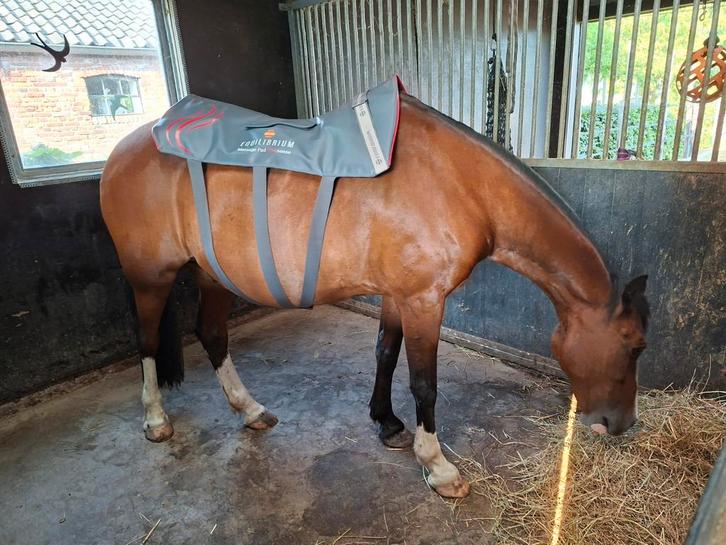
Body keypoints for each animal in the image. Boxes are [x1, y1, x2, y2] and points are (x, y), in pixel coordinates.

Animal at [100, 91, 649, 499]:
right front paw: (437, 467)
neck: (462, 184)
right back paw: (155, 419)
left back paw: (250, 409)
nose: (621, 425)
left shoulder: (398, 296)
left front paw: (386, 423)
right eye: (635, 346)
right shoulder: (425, 300)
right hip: (151, 278)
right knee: (148, 343)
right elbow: (425, 383)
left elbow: (385, 352)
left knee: (212, 335)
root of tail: (127, 147)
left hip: (213, 275)